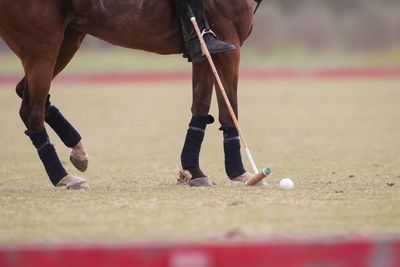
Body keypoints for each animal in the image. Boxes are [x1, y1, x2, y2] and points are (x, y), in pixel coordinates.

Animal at [0, 0, 256, 189]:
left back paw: (78, 151)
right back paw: (64, 178)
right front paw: (241, 173)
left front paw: (195, 171)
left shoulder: (203, 51)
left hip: (67, 39)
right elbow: (229, 108)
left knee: (26, 94)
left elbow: (201, 106)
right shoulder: (229, 42)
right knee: (32, 110)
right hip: (42, 44)